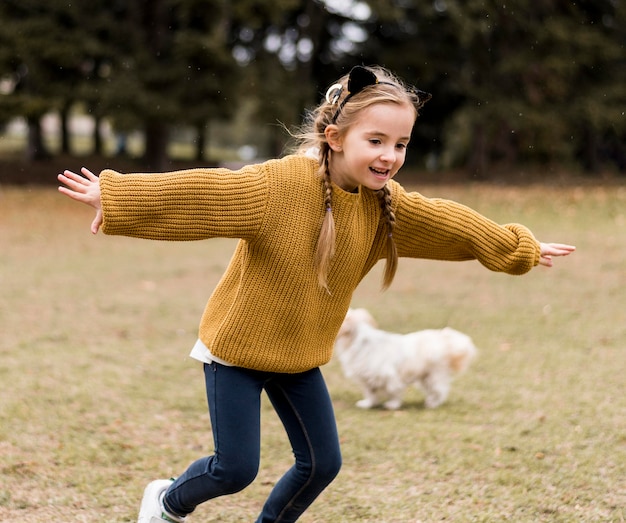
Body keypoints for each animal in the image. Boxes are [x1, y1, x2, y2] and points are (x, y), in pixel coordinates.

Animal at [334, 310, 476, 412]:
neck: (361, 341)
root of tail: (446, 342)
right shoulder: (368, 379)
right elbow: (371, 394)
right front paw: (368, 404)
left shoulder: (390, 377)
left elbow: (393, 392)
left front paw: (392, 405)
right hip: (425, 378)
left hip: (433, 377)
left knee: (440, 391)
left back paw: (432, 404)